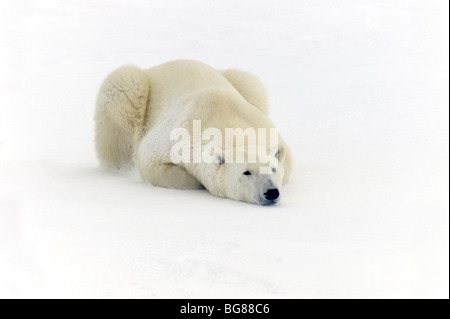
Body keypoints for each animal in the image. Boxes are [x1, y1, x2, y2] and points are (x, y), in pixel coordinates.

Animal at [95, 59, 292, 205]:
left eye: (273, 168)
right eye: (247, 172)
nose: (271, 192)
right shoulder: (180, 132)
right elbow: (150, 160)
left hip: (241, 84)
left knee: (250, 83)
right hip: (133, 90)